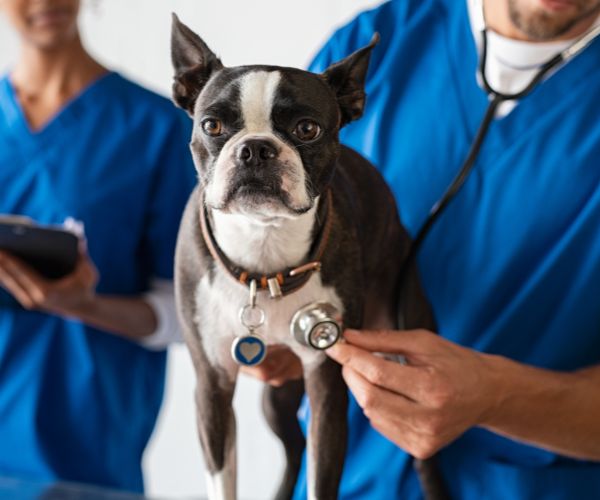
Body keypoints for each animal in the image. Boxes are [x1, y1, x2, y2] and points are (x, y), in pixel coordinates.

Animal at [169, 15, 440, 500]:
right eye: (212, 125)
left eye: (307, 130)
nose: (255, 148)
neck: (264, 252)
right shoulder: (213, 385)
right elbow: (223, 477)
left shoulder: (327, 383)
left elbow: (322, 475)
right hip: (276, 396)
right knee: (293, 445)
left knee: (421, 455)